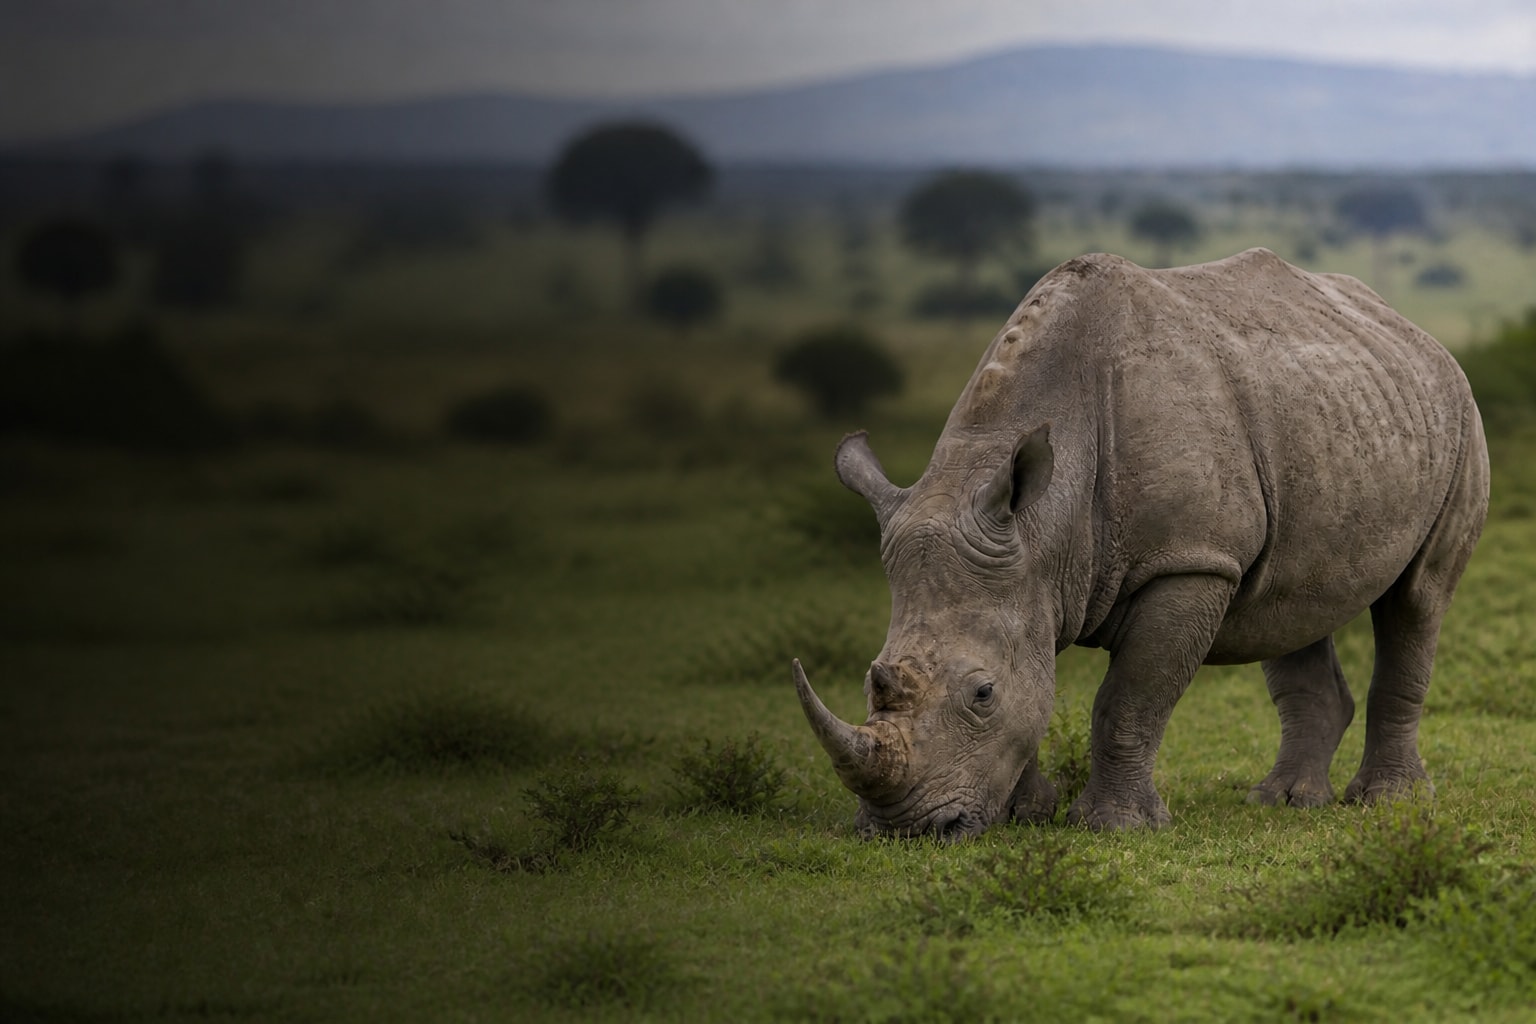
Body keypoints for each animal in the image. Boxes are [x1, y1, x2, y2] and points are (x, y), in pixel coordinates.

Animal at [793, 248, 1489, 836]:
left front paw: (1114, 827)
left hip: (1457, 413)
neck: (1042, 528)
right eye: (871, 682)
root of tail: (1414, 331)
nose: (904, 830)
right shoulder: (1031, 575)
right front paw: (1026, 815)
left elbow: (1128, 700)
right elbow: (1040, 686)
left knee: (1417, 598)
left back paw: (1387, 802)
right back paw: (1282, 802)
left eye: (982, 694)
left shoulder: (1188, 561)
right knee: (1290, 605)